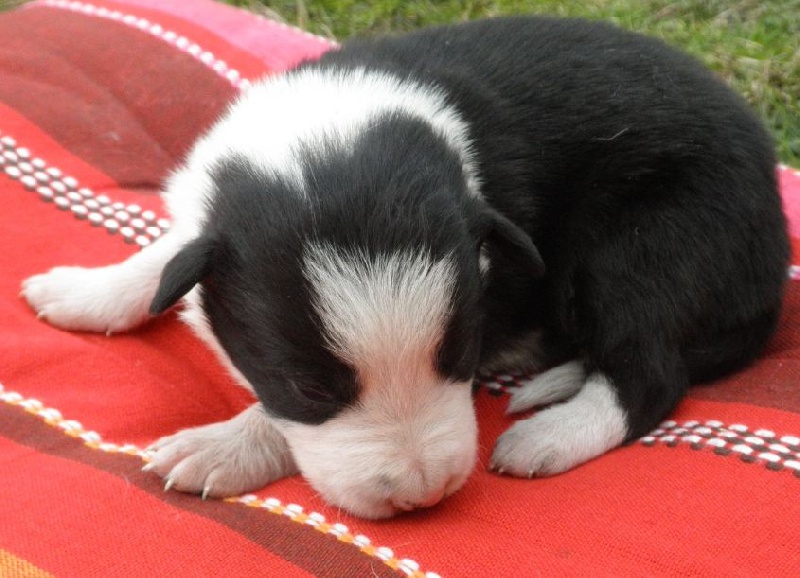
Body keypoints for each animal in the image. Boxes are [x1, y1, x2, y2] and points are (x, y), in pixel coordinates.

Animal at [21, 16, 788, 519]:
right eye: (310, 384)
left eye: (464, 353)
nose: (420, 495)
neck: (325, 134)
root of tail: (774, 264)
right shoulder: (215, 225)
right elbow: (173, 252)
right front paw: (88, 289)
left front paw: (221, 446)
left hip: (645, 244)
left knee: (649, 373)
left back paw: (547, 435)